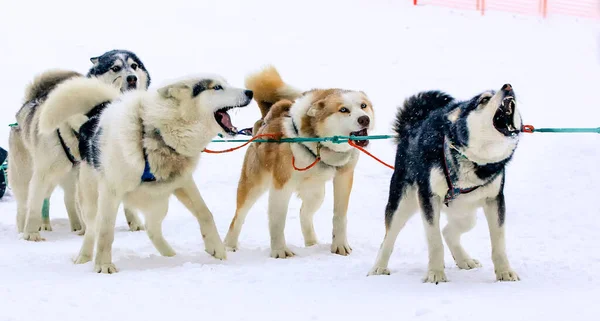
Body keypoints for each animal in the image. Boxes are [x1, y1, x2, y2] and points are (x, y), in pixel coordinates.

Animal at [7, 49, 151, 240]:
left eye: (134, 66)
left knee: (68, 200)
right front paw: (31, 234)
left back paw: (77, 227)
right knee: (25, 204)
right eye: (115, 68)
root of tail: (29, 103)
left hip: (70, 179)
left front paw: (133, 223)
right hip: (26, 176)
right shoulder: (42, 174)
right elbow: (35, 206)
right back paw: (25, 228)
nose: (132, 78)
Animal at [37, 73, 253, 272]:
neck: (152, 132)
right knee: (92, 229)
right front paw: (103, 265)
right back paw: (84, 257)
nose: (250, 92)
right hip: (92, 200)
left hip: (159, 201)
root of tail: (95, 116)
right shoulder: (111, 192)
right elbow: (105, 231)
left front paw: (217, 249)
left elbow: (205, 213)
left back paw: (169, 255)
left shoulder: (183, 182)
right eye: (217, 87)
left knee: (152, 229)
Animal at [224, 65, 376, 258]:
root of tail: (268, 117)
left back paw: (311, 242)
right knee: (239, 216)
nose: (364, 119)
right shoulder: (281, 186)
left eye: (363, 106)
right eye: (343, 110)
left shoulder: (344, 177)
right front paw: (279, 251)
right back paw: (229, 245)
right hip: (254, 184)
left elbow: (339, 216)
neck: (320, 147)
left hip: (317, 193)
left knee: (304, 213)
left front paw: (340, 245)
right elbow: (278, 221)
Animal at [366, 84, 520, 282]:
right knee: (388, 238)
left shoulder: (495, 200)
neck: (474, 162)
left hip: (466, 211)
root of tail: (412, 126)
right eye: (484, 99)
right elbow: (434, 241)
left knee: (449, 230)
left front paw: (504, 272)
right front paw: (435, 274)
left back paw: (464, 260)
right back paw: (379, 267)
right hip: (403, 203)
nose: (507, 86)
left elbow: (499, 242)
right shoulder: (428, 197)